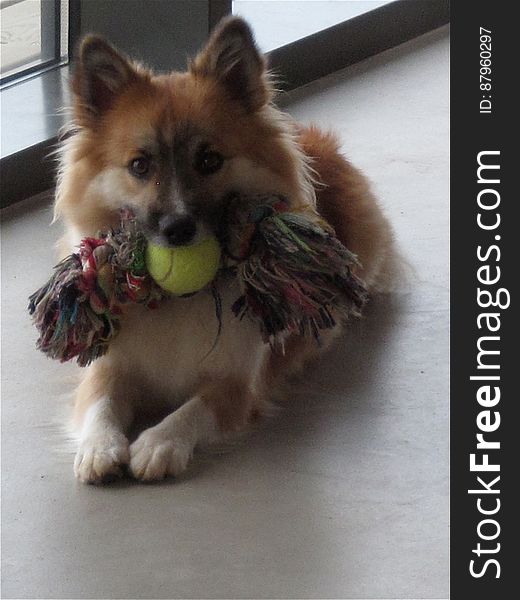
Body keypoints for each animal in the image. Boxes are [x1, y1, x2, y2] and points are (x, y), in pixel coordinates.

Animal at [53, 16, 394, 482]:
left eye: (210, 160)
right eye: (140, 165)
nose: (177, 229)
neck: (176, 299)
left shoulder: (238, 384)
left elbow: (195, 409)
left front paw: (159, 443)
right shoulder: (110, 365)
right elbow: (100, 401)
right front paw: (98, 446)